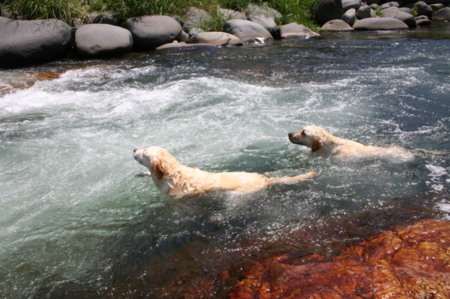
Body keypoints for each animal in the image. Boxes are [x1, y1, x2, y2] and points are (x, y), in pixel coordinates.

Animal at [134, 147, 316, 198]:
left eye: (145, 153)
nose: (134, 149)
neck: (172, 173)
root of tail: (264, 179)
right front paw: (141, 174)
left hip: (235, 197)